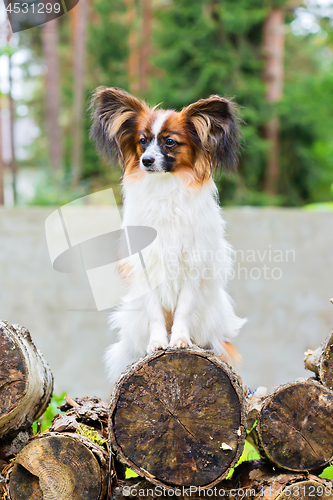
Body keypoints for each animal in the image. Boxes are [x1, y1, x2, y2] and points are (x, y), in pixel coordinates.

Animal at [89, 86, 245, 384]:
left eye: (170, 142)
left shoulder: (192, 265)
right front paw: (157, 343)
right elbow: (154, 311)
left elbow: (184, 307)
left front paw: (180, 341)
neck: (165, 191)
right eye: (142, 141)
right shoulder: (147, 265)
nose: (146, 161)